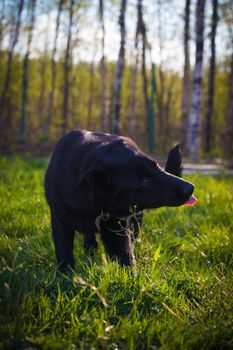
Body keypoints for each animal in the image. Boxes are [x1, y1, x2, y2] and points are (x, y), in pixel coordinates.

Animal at [44, 131, 194, 270]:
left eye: (157, 166)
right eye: (145, 180)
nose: (190, 188)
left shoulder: (116, 228)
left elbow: (125, 258)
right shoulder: (60, 222)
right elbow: (64, 253)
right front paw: (65, 276)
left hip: (135, 223)